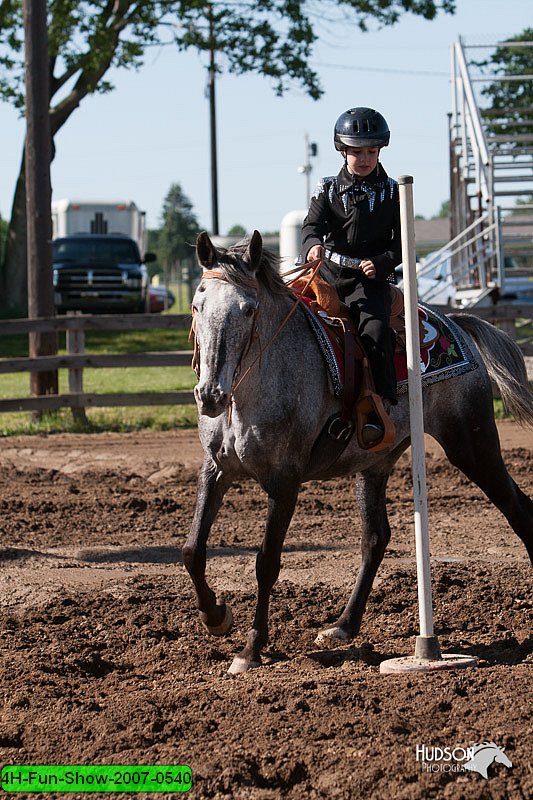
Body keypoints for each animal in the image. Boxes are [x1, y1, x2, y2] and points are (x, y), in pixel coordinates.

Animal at [184, 231, 532, 676]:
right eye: (198, 305)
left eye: (248, 309)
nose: (209, 395)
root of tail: (456, 323)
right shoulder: (215, 471)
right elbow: (193, 550)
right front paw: (216, 617)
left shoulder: (285, 483)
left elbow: (266, 562)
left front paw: (251, 649)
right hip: (374, 465)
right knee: (375, 538)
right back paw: (343, 626)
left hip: (472, 444)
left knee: (518, 508)